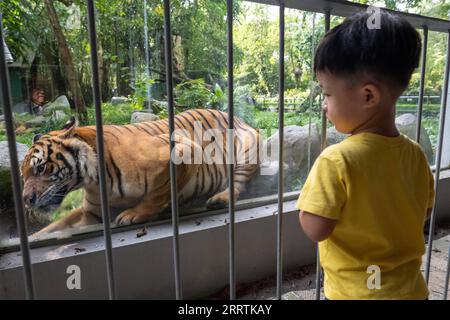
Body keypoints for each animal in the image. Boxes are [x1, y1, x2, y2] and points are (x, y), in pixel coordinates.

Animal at [21, 109, 260, 236]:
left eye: (41, 168)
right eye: (23, 175)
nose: (26, 200)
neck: (93, 180)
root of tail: (235, 115)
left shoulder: (184, 150)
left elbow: (158, 193)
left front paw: (133, 214)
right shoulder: (92, 214)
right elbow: (54, 227)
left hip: (247, 149)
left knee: (237, 185)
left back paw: (219, 199)